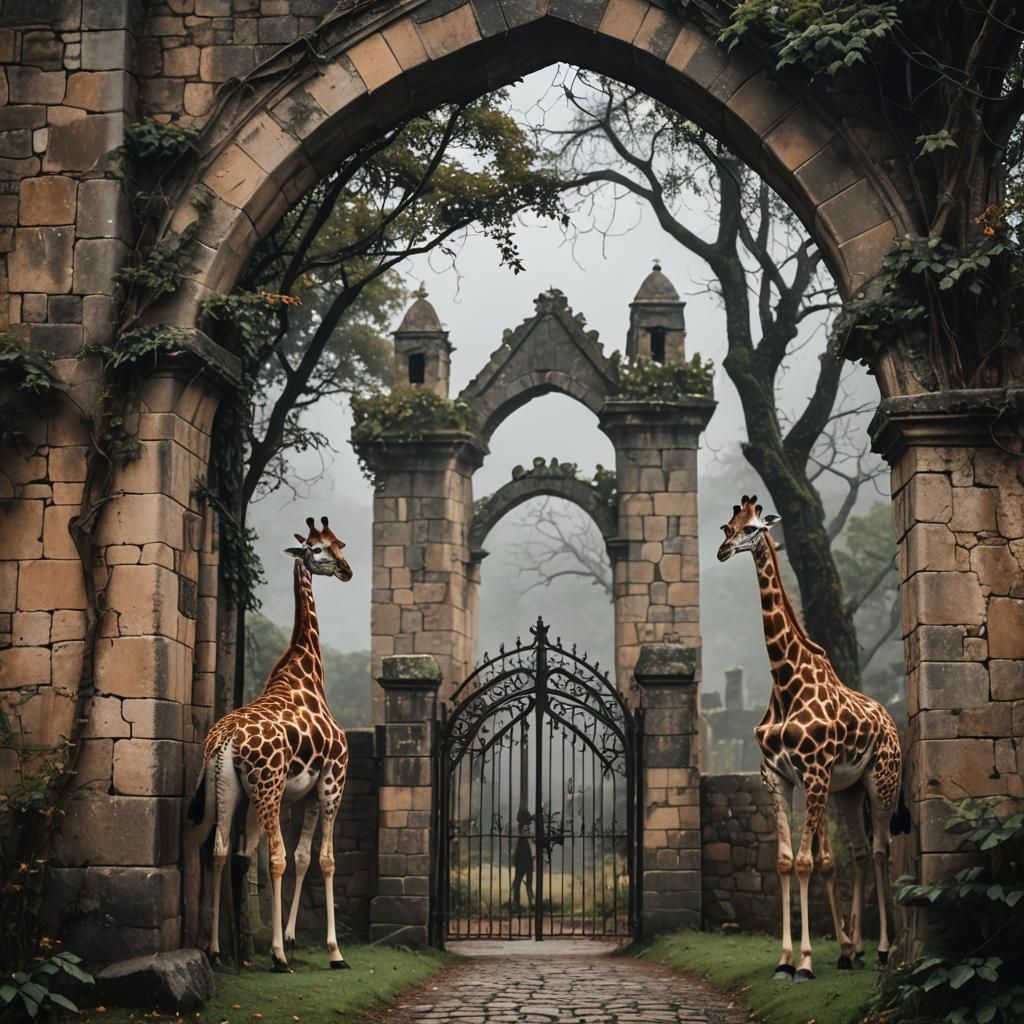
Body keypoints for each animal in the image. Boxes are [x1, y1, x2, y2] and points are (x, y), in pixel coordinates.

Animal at [190, 516, 353, 972]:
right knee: (273, 856)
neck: (305, 672)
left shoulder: (306, 793)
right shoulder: (331, 782)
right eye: (318, 549)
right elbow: (323, 860)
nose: (347, 571)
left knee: (220, 850)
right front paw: (332, 951)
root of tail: (225, 741)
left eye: (339, 544)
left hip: (227, 788)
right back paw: (277, 956)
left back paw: (217, 950)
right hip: (267, 788)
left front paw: (294, 936)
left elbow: (302, 857)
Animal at [717, 495, 904, 983]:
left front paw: (804, 962)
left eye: (755, 528)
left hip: (882, 780)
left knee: (881, 850)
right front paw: (784, 960)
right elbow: (786, 862)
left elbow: (806, 862)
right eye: (728, 526)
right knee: (858, 852)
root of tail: (892, 721)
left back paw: (881, 949)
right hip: (847, 791)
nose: (723, 551)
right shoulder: (777, 778)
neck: (784, 681)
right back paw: (852, 949)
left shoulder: (814, 773)